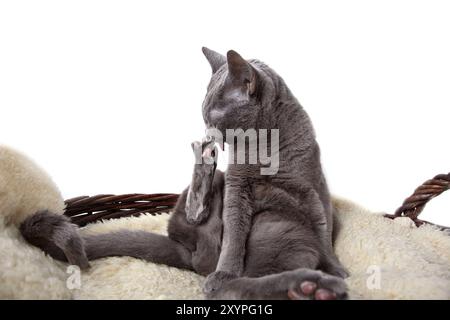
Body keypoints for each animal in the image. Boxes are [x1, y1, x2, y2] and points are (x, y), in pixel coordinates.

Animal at [21, 48, 348, 300]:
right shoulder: (237, 187)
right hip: (225, 196)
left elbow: (324, 228)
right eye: (203, 116)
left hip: (284, 233)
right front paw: (225, 271)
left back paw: (309, 287)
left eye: (214, 116)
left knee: (243, 280)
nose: (207, 134)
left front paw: (338, 269)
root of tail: (185, 255)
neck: (264, 149)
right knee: (207, 247)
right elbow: (234, 236)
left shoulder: (314, 187)